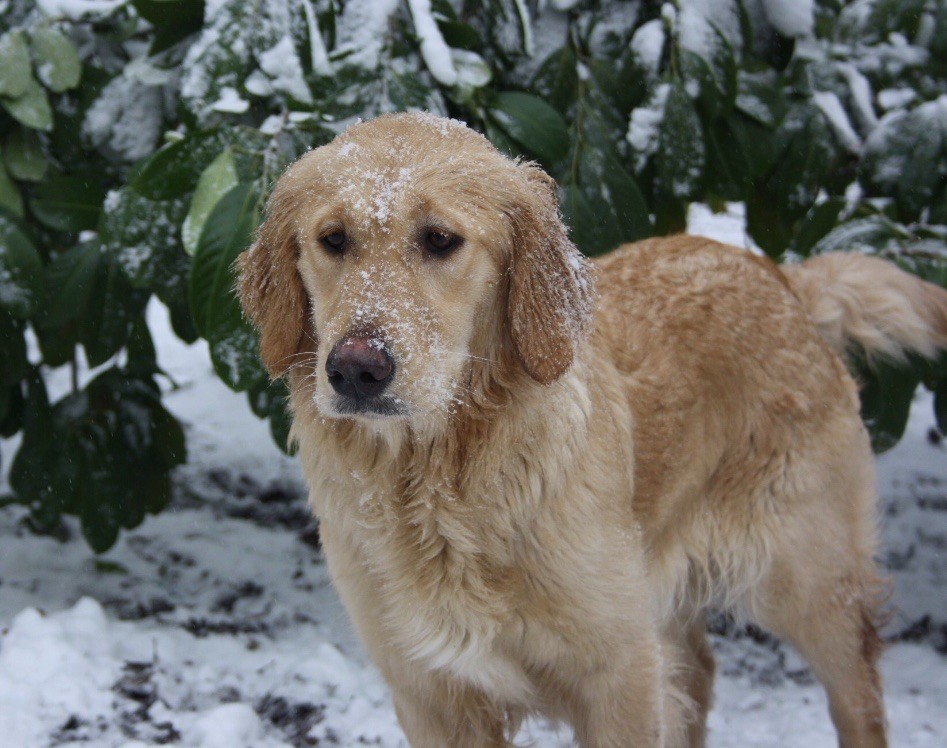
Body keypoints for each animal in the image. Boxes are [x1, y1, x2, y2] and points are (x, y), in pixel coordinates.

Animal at [235, 112, 947, 748]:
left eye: (439, 240)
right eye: (333, 240)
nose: (356, 369)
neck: (443, 482)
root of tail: (780, 276)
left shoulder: (618, 675)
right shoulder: (431, 694)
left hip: (810, 585)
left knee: (858, 700)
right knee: (698, 672)